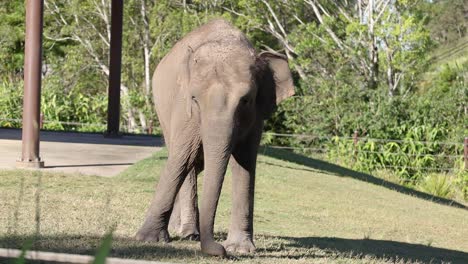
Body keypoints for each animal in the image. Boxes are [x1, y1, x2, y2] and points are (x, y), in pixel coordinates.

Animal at [134, 19, 292, 258]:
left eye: (246, 100)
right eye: (194, 99)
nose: (220, 250)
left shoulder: (256, 116)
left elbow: (245, 162)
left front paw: (240, 248)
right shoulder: (183, 108)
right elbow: (182, 157)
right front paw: (147, 239)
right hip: (162, 111)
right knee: (186, 163)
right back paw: (187, 233)